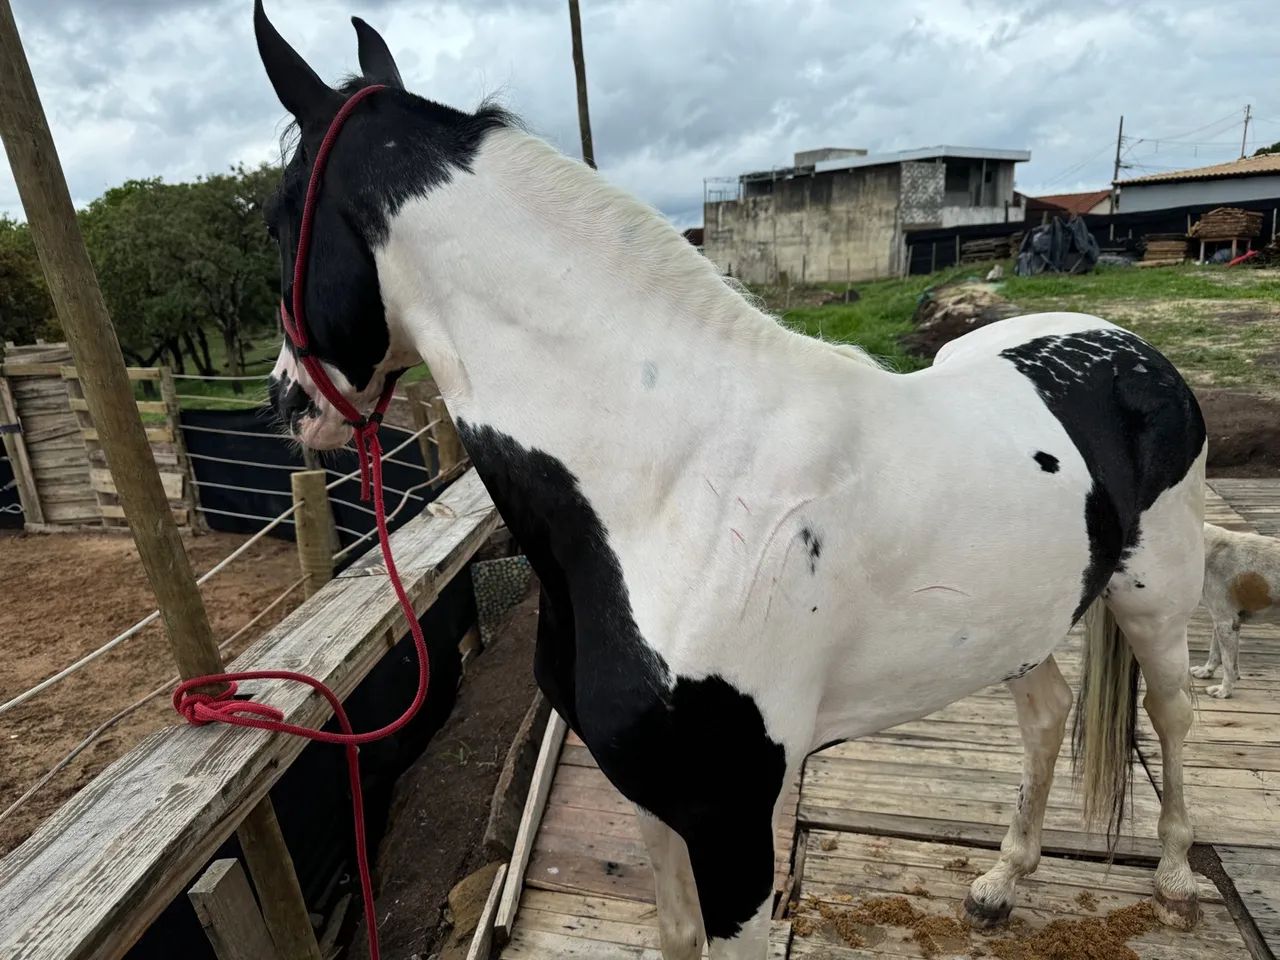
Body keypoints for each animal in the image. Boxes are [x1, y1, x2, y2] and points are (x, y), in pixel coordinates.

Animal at [253, 6, 1208, 957]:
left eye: (277, 217)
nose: (287, 402)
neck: (673, 488)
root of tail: (1133, 349)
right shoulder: (652, 798)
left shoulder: (733, 830)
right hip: (1022, 625)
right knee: (1047, 716)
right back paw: (1003, 882)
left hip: (1156, 602)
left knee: (1173, 715)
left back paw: (1174, 879)